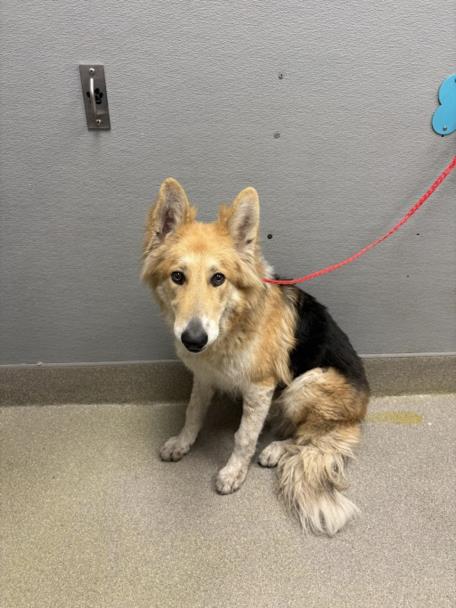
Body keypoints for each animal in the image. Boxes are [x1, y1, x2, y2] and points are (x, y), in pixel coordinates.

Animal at [141, 178, 369, 535]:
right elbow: (193, 413)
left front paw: (234, 472)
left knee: (311, 437)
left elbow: (244, 437)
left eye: (218, 278)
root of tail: (359, 413)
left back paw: (275, 449)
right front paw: (183, 443)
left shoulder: (260, 388)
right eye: (177, 276)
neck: (232, 325)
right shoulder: (204, 377)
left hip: (305, 384)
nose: (193, 340)